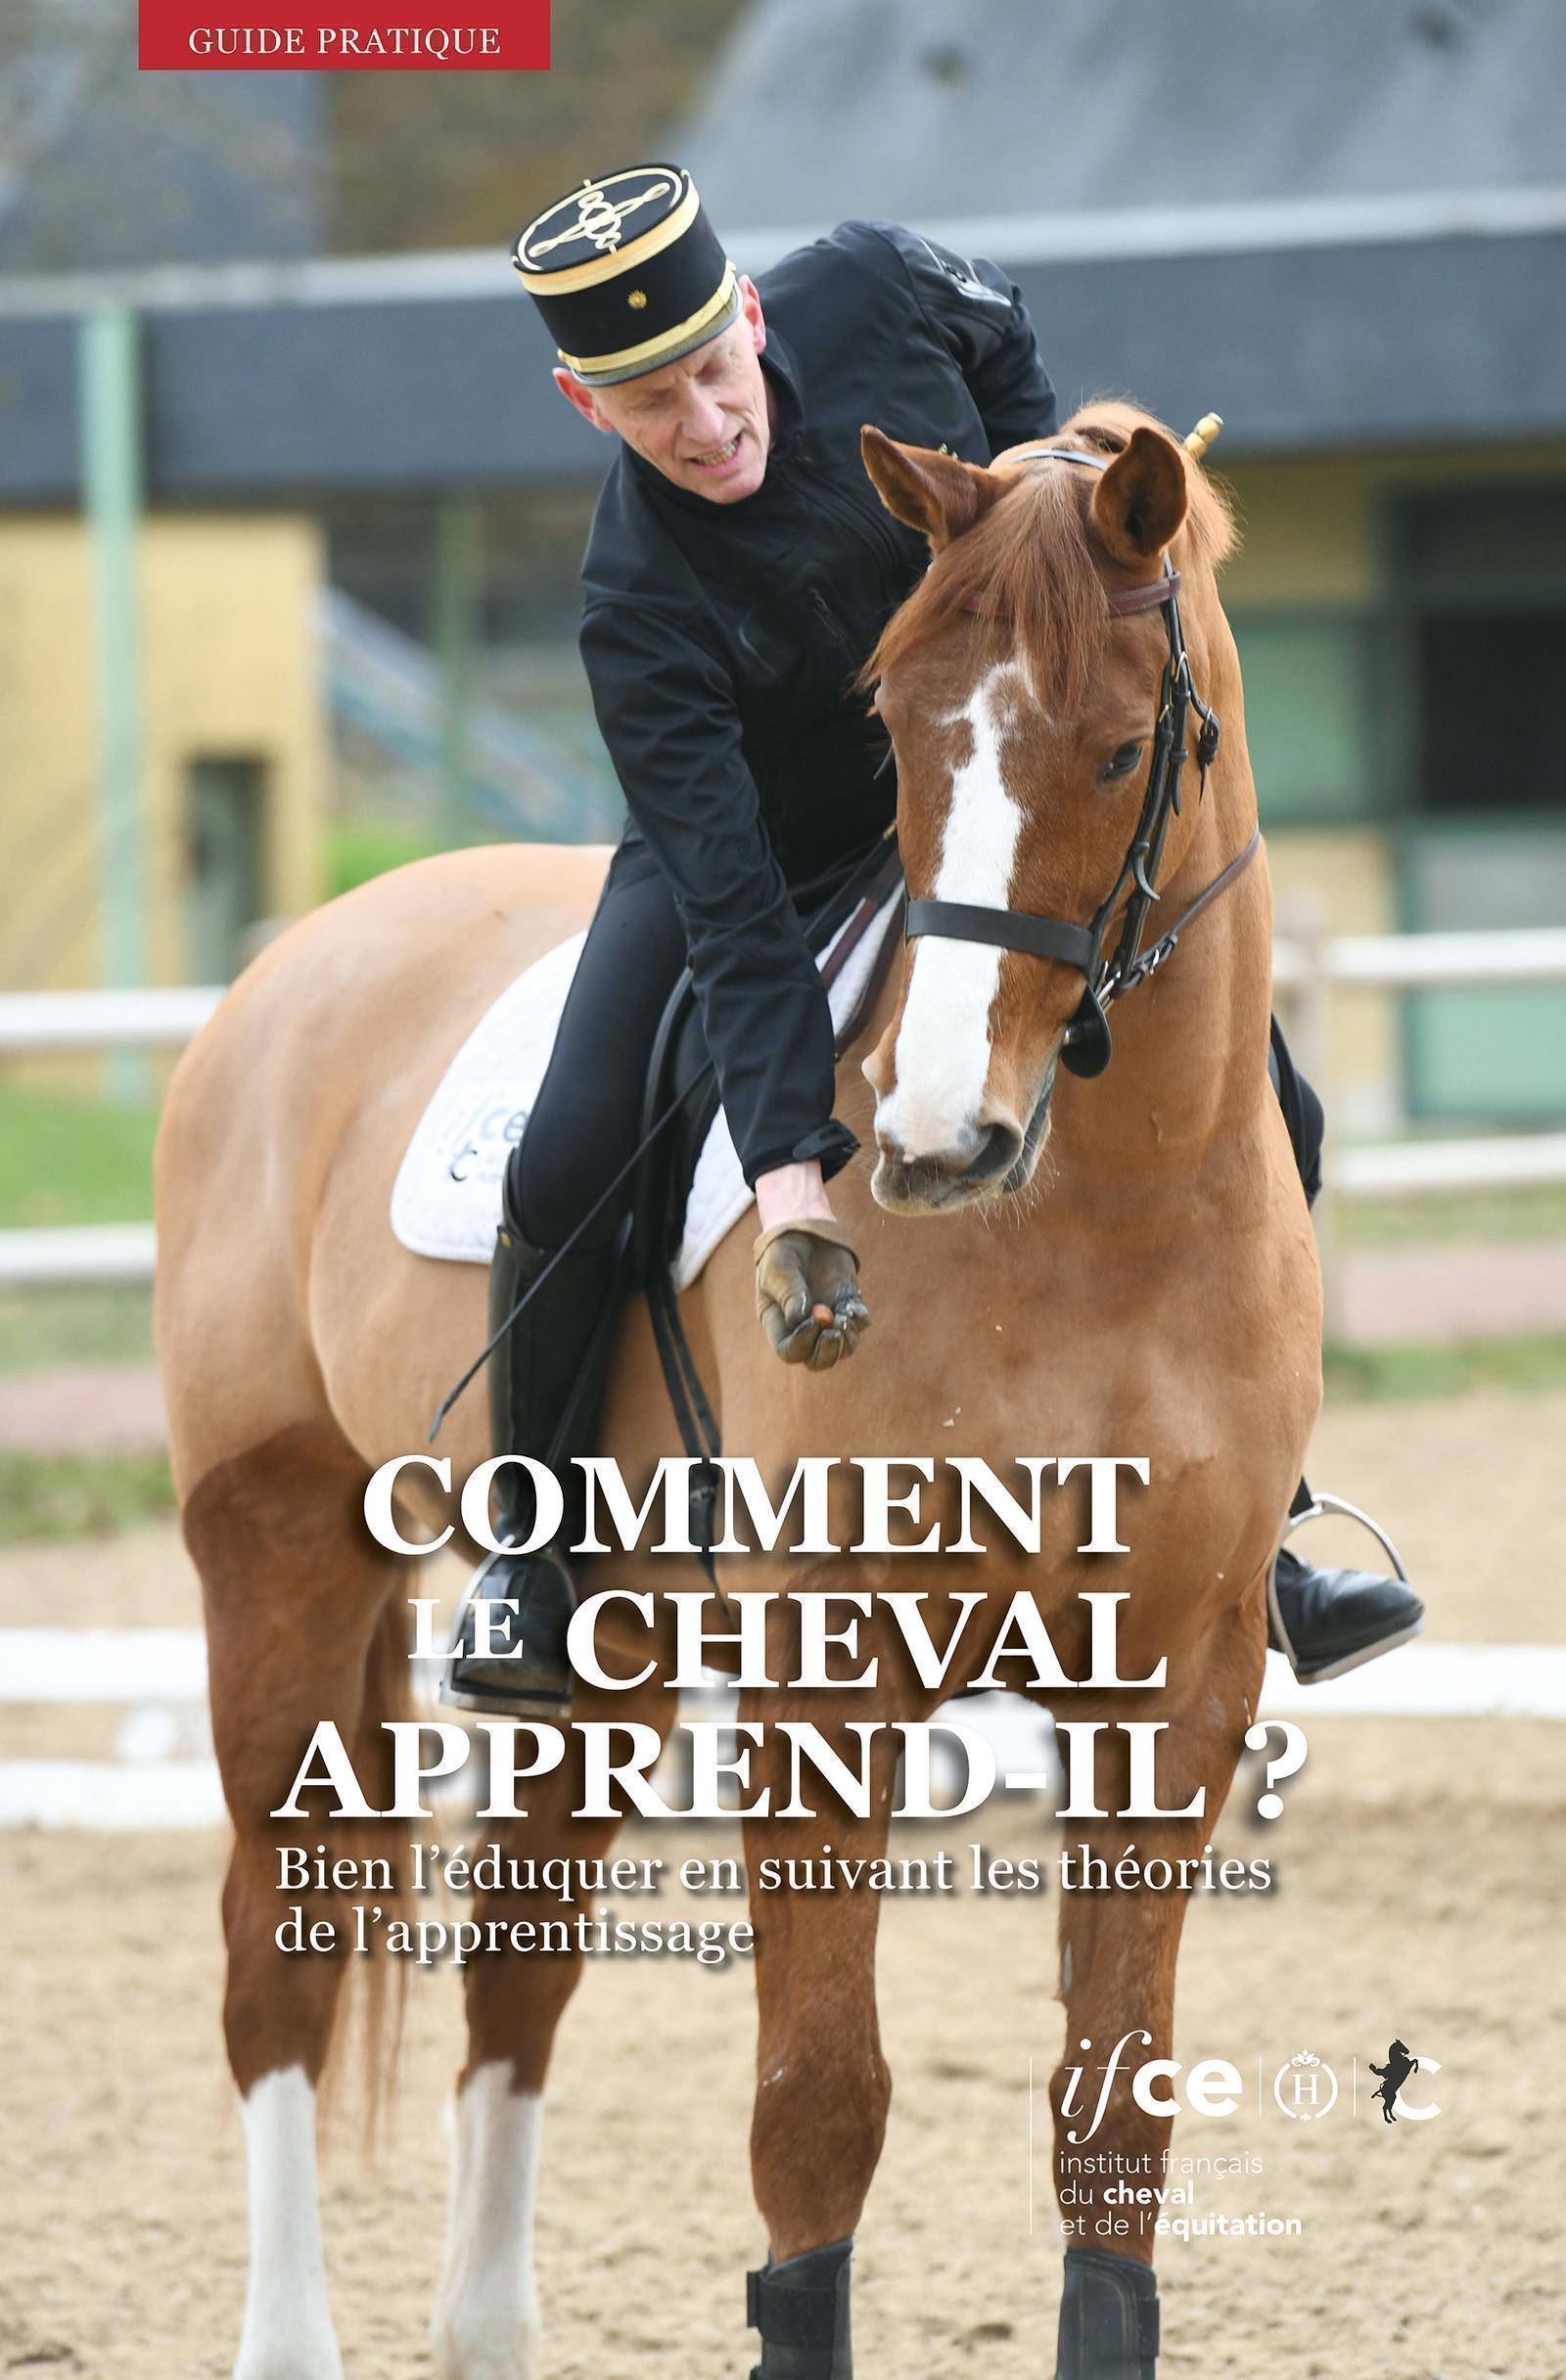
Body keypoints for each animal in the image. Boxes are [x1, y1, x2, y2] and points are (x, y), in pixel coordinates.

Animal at [154, 398, 1321, 2379]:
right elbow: (819, 2106)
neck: (1111, 1208)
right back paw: (293, 2342)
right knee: (275, 1963)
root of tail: (294, 959)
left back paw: (486, 2336)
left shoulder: (1177, 1675)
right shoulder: (826, 1670)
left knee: (519, 1955)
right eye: (895, 726)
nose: (929, 1142)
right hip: (281, 1546)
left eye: (1113, 748)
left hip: (605, 1640)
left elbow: (1113, 2117)